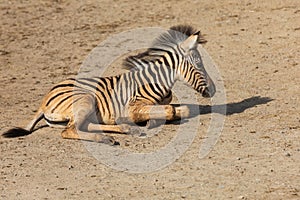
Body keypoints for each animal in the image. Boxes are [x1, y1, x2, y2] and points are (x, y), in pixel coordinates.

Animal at [1, 25, 214, 145]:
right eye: (198, 63)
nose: (214, 90)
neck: (158, 81)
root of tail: (44, 101)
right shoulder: (132, 107)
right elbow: (170, 110)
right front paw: (152, 121)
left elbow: (183, 109)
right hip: (85, 98)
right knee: (70, 130)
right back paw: (106, 138)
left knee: (84, 126)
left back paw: (126, 130)